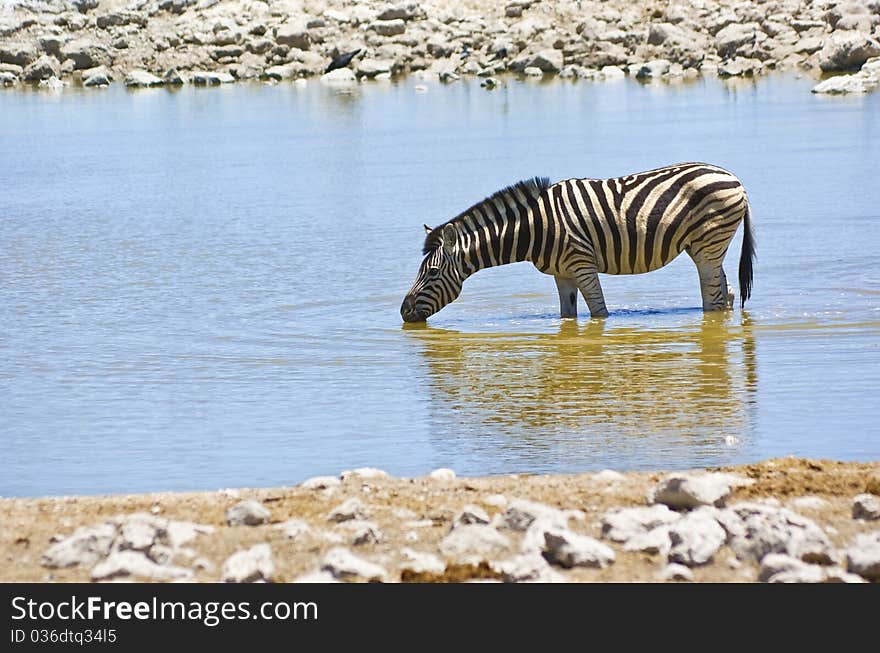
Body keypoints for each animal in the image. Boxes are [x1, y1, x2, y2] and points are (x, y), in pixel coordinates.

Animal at [402, 163, 752, 320]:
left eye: (432, 273)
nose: (404, 312)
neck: (535, 226)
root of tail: (734, 179)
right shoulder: (562, 274)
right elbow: (566, 316)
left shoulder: (582, 263)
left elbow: (599, 313)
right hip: (709, 248)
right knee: (726, 292)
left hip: (708, 245)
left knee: (714, 299)